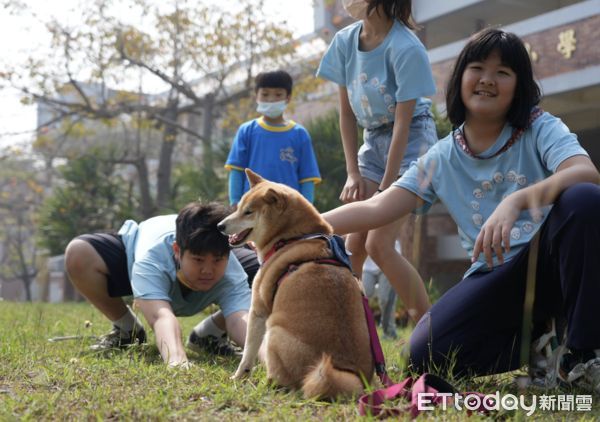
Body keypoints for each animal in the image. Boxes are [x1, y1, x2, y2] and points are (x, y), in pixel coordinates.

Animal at [218, 168, 372, 398]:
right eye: (238, 208)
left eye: (248, 212)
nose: (219, 225)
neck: (292, 237)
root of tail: (344, 368)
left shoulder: (258, 309)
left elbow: (247, 353)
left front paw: (238, 377)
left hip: (273, 330)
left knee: (282, 380)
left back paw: (265, 384)